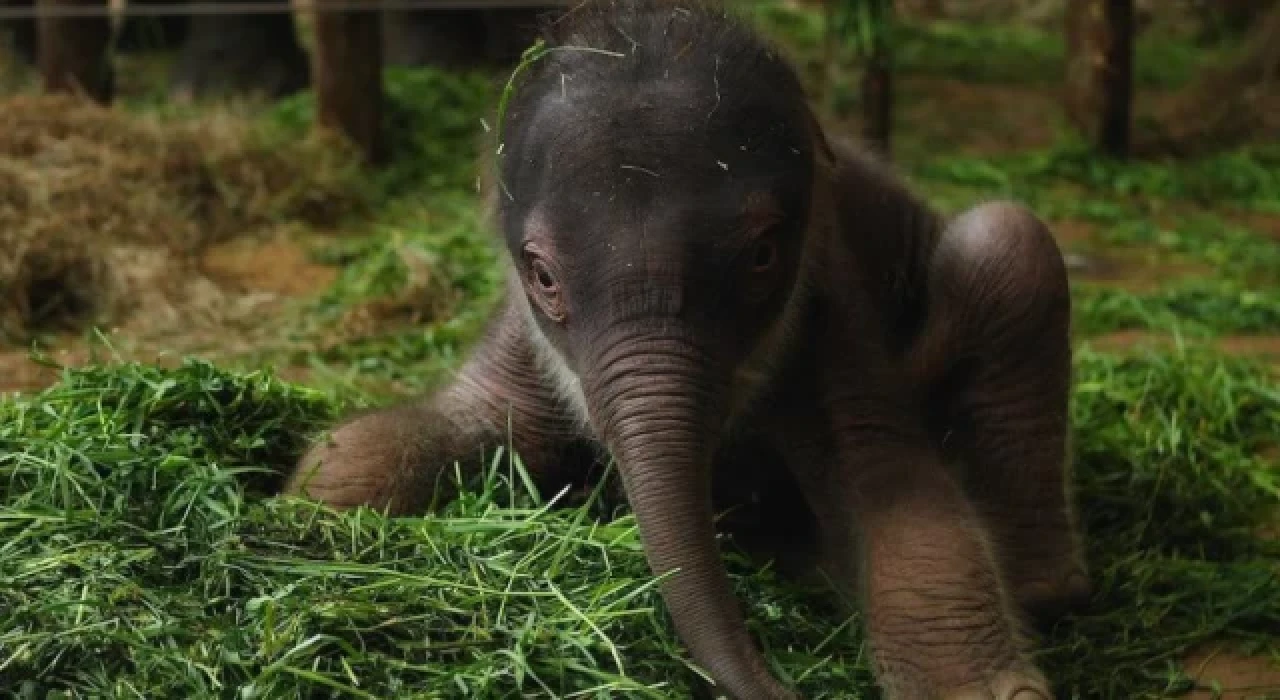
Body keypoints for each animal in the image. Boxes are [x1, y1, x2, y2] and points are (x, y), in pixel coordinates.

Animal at [288, 2, 1090, 696]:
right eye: (543, 276)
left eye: (763, 256)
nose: (781, 685)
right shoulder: (518, 336)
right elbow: (389, 447)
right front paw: (306, 502)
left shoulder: (834, 309)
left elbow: (904, 506)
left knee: (1010, 243)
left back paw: (1038, 587)